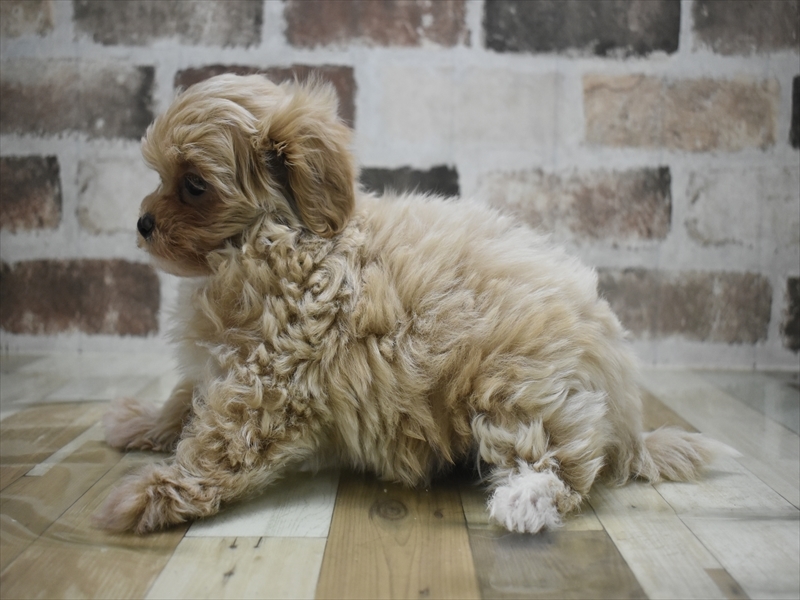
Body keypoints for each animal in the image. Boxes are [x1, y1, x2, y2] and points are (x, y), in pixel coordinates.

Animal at [95, 74, 721, 534]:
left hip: (517, 385)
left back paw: (525, 501)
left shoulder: (269, 374)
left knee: (565, 461)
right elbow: (186, 396)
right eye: (160, 177)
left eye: (194, 185)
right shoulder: (225, 361)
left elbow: (217, 442)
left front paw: (150, 495)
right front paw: (145, 422)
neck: (278, 236)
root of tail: (627, 407)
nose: (142, 224)